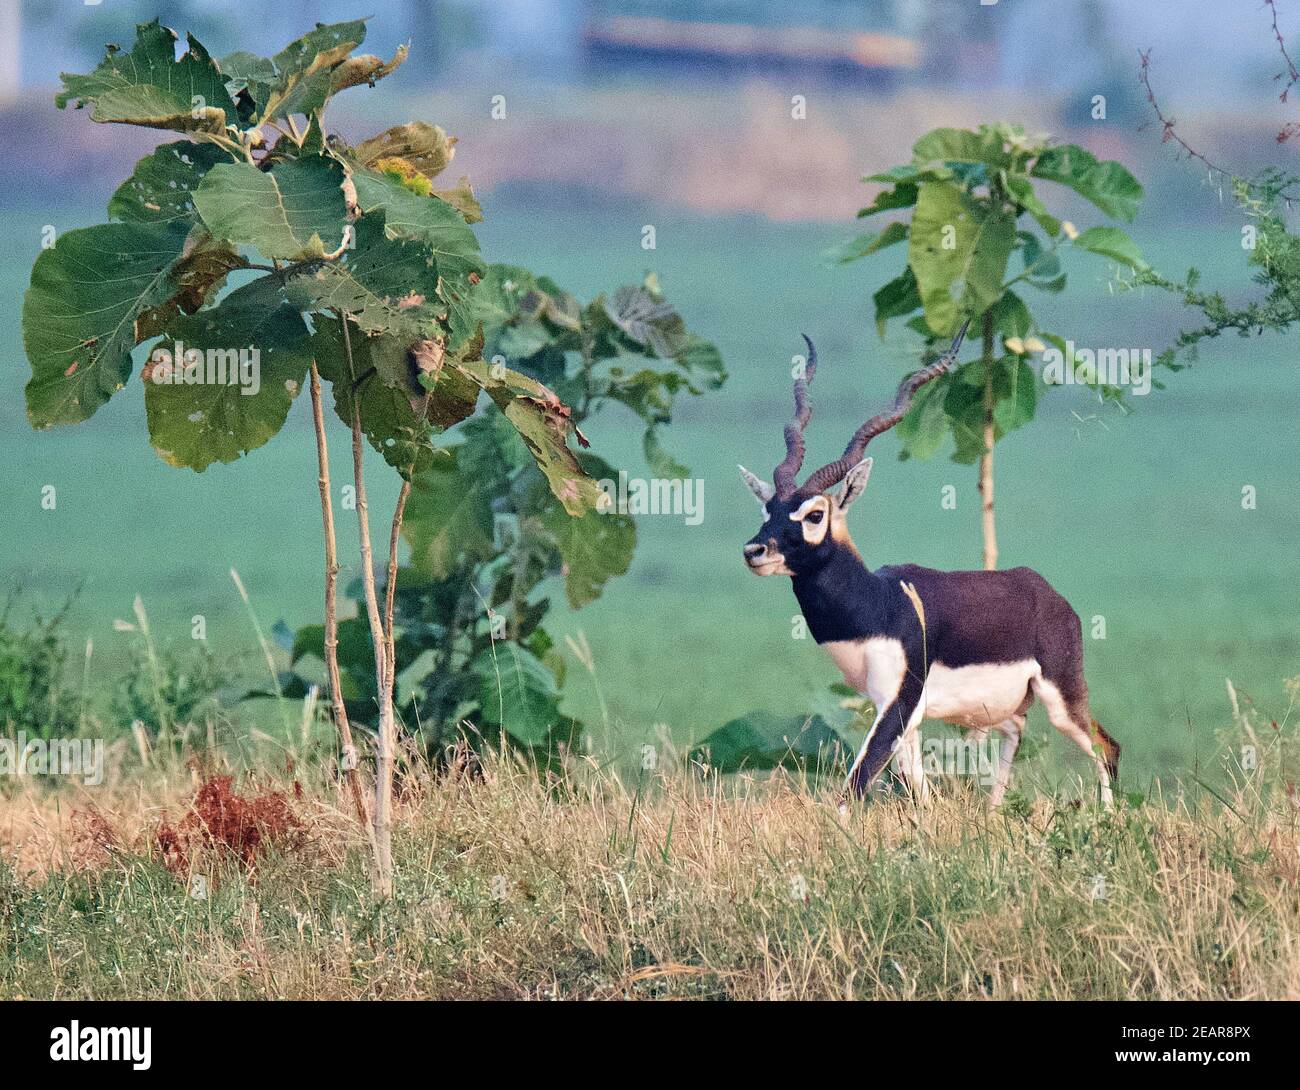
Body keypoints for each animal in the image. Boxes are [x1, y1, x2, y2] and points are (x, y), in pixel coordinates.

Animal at [738, 319, 1123, 806]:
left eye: (814, 514)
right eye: (767, 509)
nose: (755, 551)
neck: (879, 603)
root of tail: (1044, 591)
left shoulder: (899, 702)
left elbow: (857, 784)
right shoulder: (900, 712)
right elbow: (916, 789)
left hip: (1062, 696)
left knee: (1106, 748)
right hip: (1000, 706)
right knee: (1017, 732)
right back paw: (992, 813)